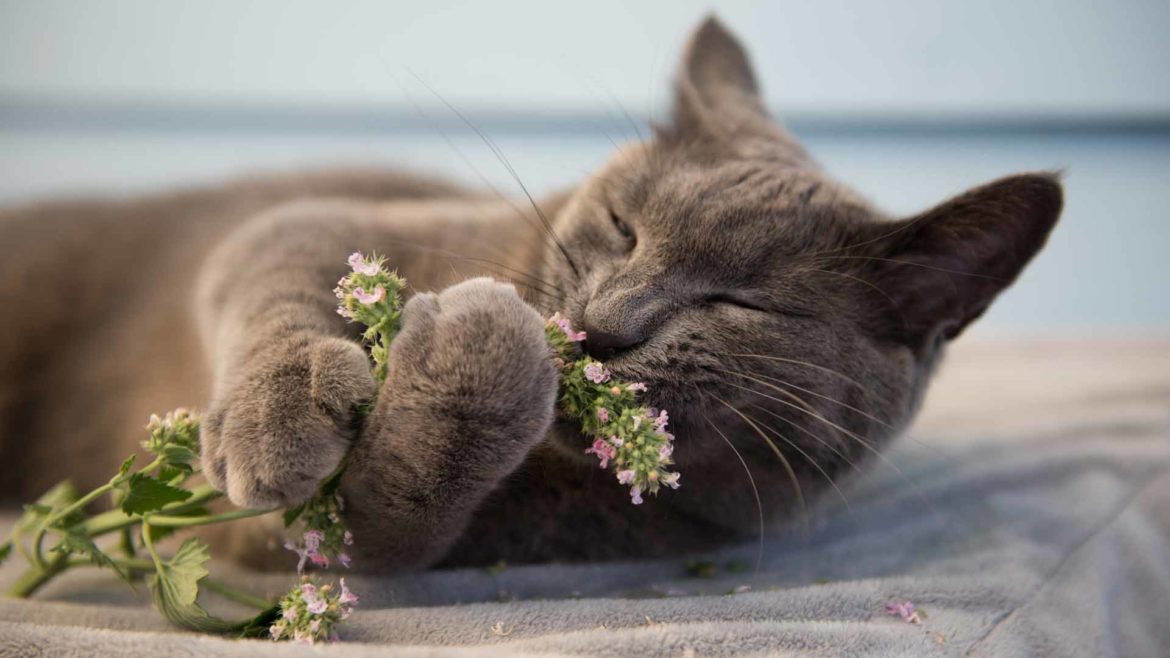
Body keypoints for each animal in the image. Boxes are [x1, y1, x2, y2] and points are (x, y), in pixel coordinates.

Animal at [0, 16, 1062, 569]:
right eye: (625, 226)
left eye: (743, 305)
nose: (602, 326)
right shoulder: (309, 222)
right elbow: (273, 280)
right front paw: (277, 421)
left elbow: (389, 516)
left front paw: (476, 358)